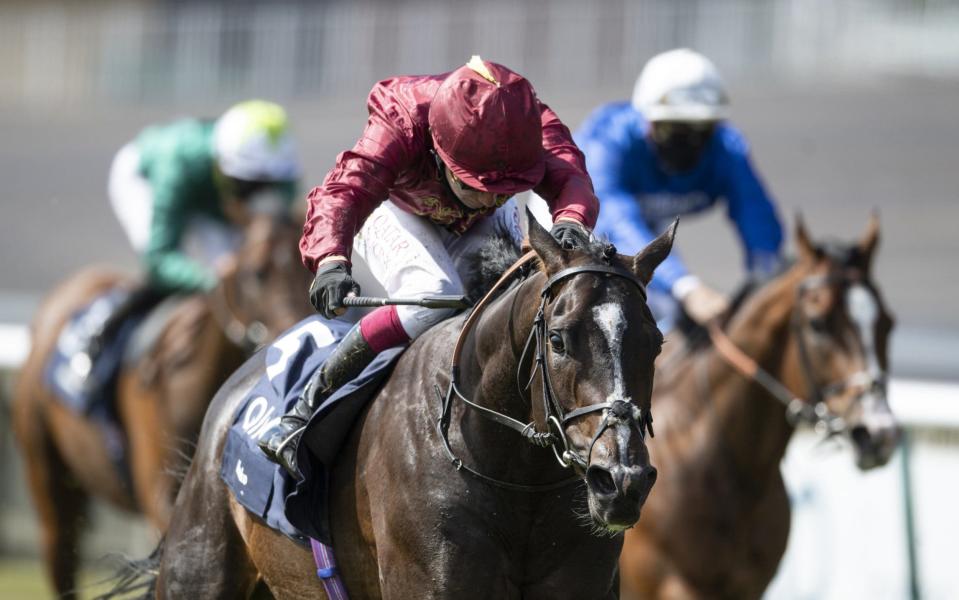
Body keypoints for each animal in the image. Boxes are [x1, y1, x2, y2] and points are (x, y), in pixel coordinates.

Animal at [11, 212, 312, 600]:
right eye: (256, 271)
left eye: (305, 266)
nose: (295, 339)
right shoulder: (161, 490)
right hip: (47, 479)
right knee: (60, 553)